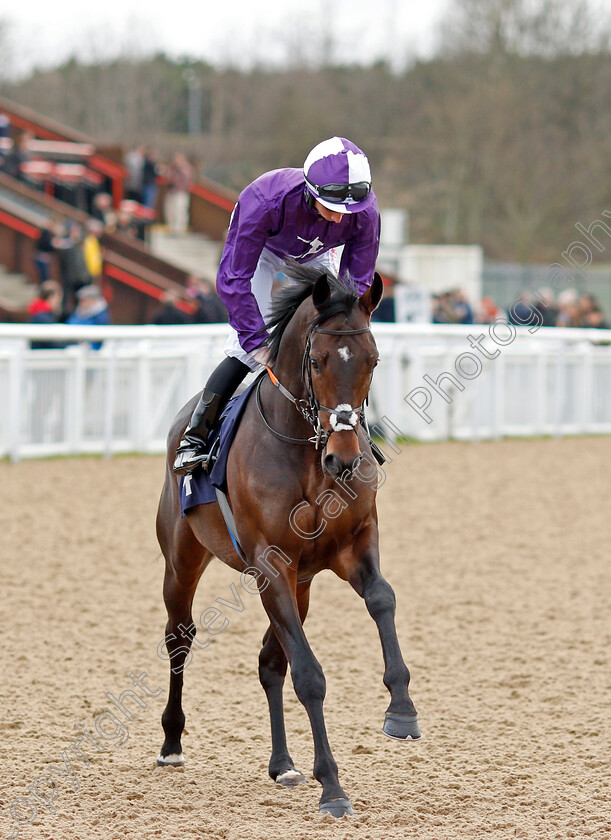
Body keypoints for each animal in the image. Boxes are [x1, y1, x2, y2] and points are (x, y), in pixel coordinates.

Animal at [157, 270, 420, 820]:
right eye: (317, 360)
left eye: (373, 360)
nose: (345, 458)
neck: (307, 453)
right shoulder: (271, 565)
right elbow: (310, 676)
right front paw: (333, 786)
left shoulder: (353, 545)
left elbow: (382, 598)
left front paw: (402, 710)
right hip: (183, 558)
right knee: (179, 636)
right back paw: (171, 742)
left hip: (301, 585)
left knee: (268, 662)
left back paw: (282, 763)